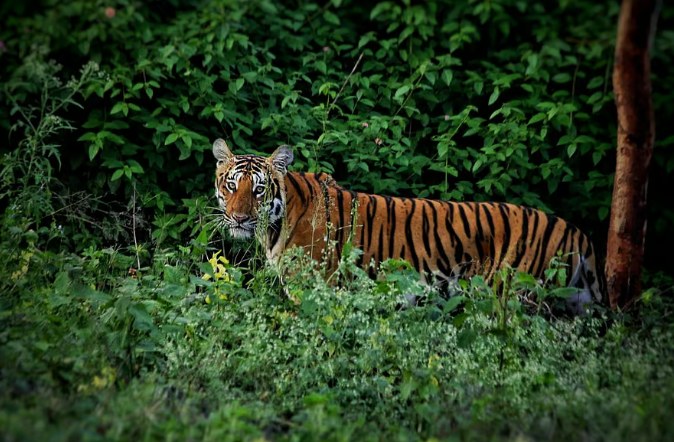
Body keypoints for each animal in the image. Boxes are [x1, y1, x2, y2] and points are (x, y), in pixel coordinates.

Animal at [212, 138, 606, 313]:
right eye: (231, 185)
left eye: (259, 189)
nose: (239, 217)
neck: (275, 225)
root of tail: (575, 230)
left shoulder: (314, 290)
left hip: (510, 297)